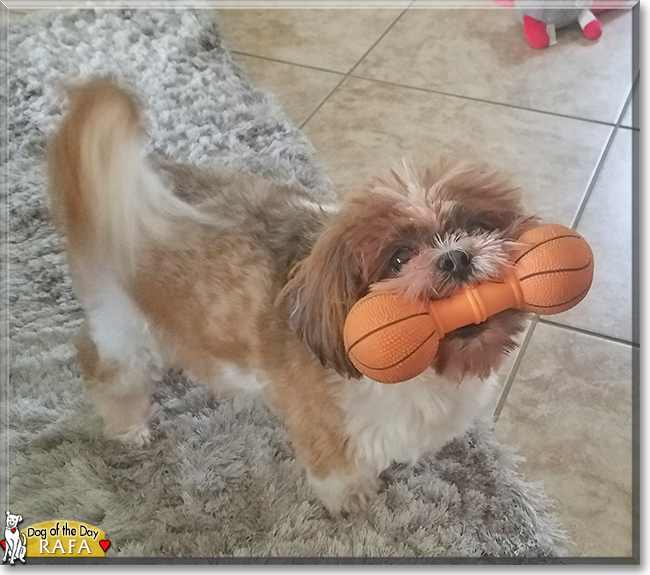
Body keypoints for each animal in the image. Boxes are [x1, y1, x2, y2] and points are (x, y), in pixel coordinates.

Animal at [46, 80, 536, 512]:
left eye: (476, 226)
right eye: (399, 259)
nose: (455, 257)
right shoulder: (327, 428)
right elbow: (336, 473)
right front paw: (351, 500)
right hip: (123, 328)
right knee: (101, 366)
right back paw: (126, 425)